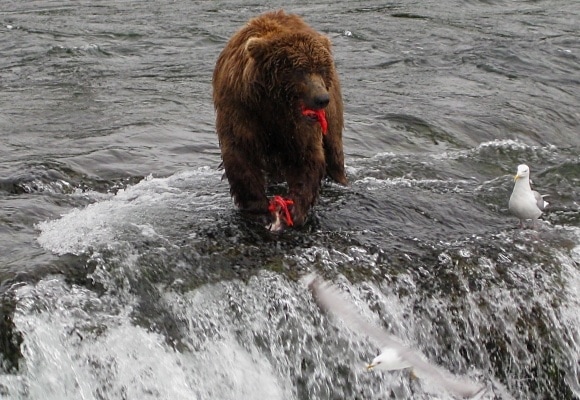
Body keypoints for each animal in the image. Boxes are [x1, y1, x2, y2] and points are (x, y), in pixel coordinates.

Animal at [214, 10, 346, 230]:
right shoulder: (240, 109)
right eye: (300, 70)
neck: (273, 105)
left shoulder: (299, 125)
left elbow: (307, 156)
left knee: (334, 148)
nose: (321, 99)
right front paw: (259, 209)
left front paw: (295, 209)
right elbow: (240, 153)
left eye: (321, 68)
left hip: (333, 111)